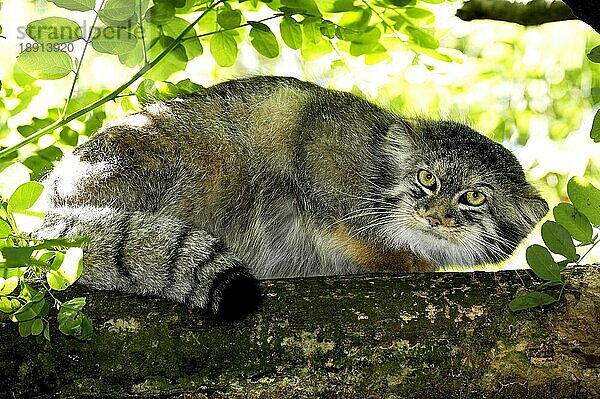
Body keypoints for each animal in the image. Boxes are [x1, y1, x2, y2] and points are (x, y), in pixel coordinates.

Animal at [37, 76, 548, 318]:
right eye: (427, 178)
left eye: (474, 197)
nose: (434, 215)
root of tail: (48, 207)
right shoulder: (319, 150)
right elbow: (349, 228)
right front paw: (399, 259)